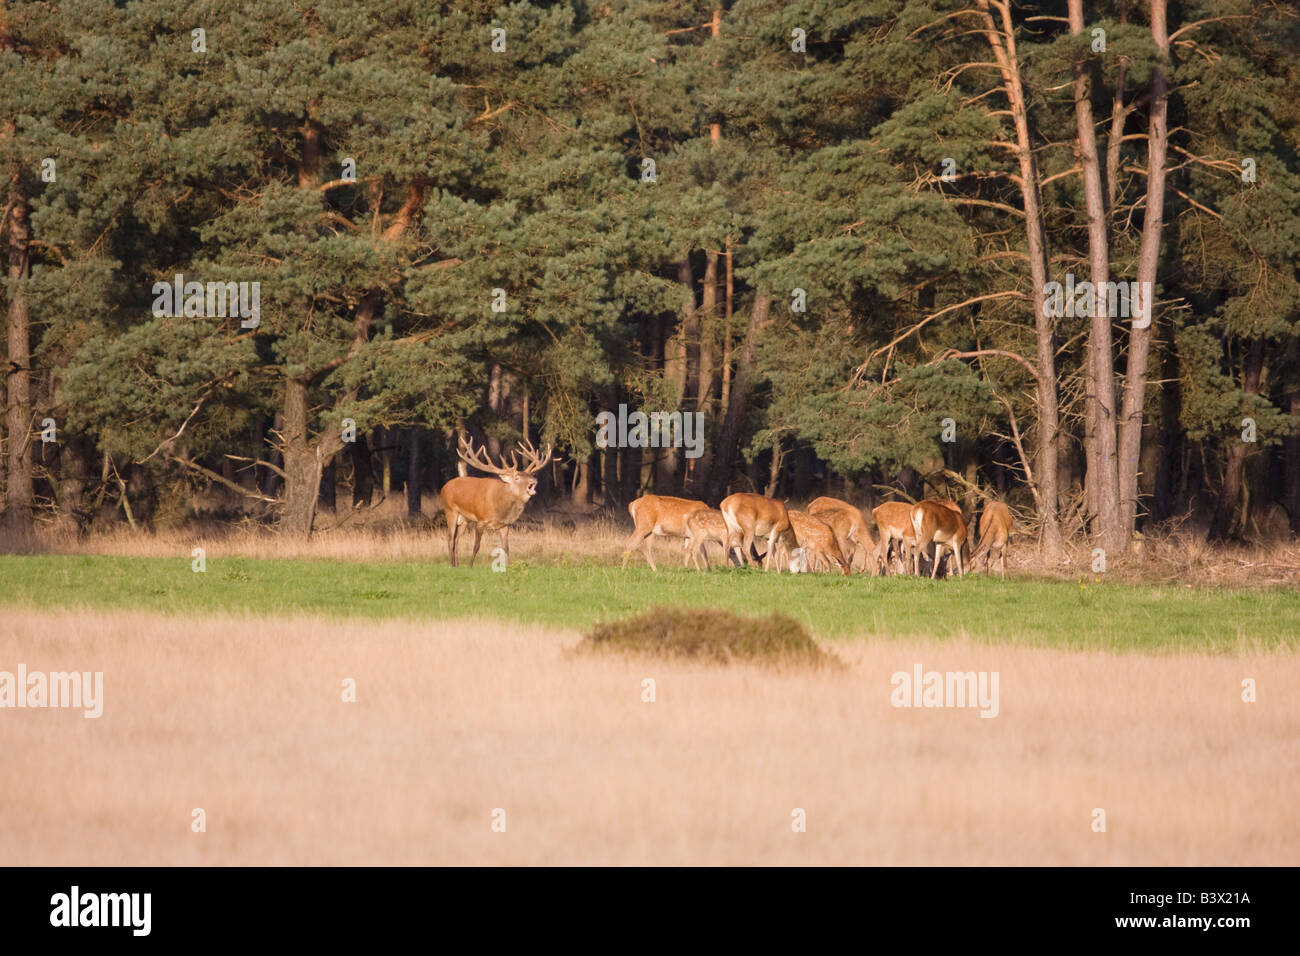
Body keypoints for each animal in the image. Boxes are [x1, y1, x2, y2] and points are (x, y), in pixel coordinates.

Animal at [439, 434, 551, 564]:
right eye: (517, 477)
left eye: (530, 475)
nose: (534, 480)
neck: (500, 510)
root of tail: (444, 487)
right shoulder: (481, 520)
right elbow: (476, 546)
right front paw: (470, 565)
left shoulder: (505, 525)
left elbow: (506, 547)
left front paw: (508, 565)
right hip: (450, 510)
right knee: (450, 539)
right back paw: (452, 564)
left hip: (465, 518)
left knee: (457, 539)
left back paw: (457, 564)